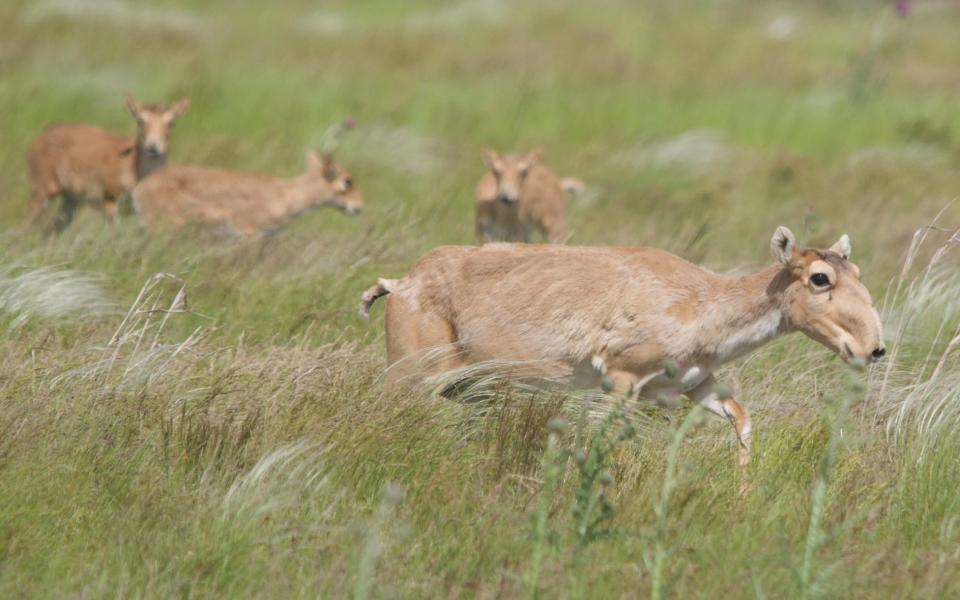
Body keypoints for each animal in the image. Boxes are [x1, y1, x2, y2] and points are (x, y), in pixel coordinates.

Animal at [26, 96, 189, 232]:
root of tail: (44, 134)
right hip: (42, 189)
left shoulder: (134, 209)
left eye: (171, 123)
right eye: (140, 121)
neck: (133, 168)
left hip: (70, 198)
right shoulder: (110, 198)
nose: (153, 147)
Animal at [360, 227, 884, 466]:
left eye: (859, 272)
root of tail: (400, 283)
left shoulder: (695, 385)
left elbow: (743, 420)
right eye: (820, 278)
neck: (702, 300)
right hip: (408, 378)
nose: (874, 348)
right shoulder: (621, 380)